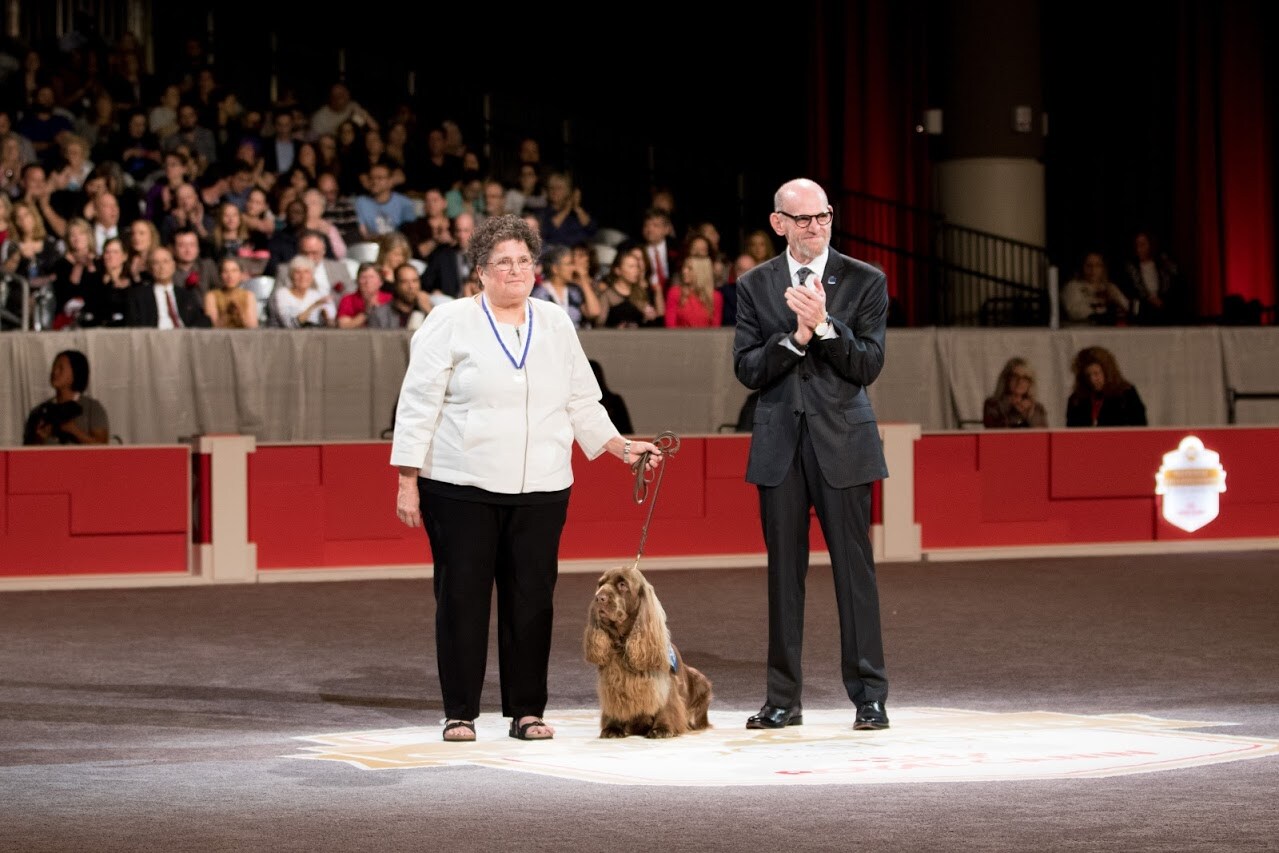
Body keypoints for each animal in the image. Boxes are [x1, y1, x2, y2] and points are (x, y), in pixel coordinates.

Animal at [585, 562, 716, 736]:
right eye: (600, 584)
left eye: (622, 585)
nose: (599, 597)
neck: (623, 642)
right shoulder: (611, 682)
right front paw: (612, 728)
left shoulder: (664, 683)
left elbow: (665, 705)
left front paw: (662, 728)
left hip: (700, 681)